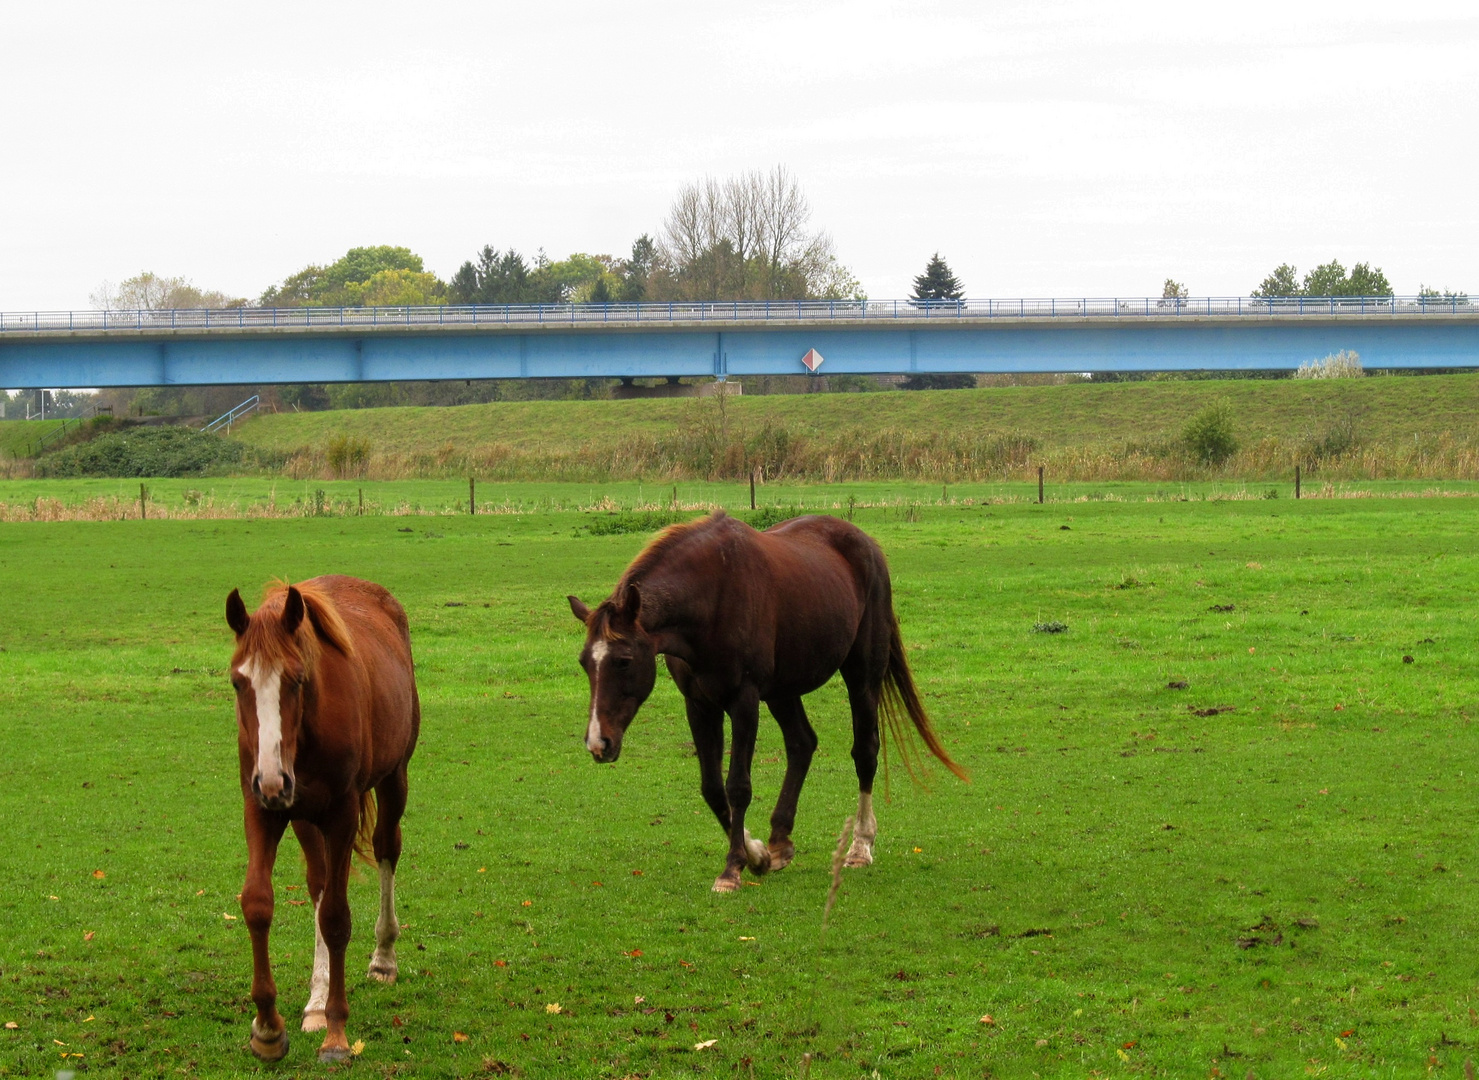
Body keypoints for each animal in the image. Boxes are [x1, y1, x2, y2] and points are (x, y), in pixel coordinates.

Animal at [226, 576, 422, 1053]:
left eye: (296, 680)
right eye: (239, 683)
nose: (273, 779)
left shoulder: (341, 813)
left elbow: (335, 917)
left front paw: (336, 1034)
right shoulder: (263, 808)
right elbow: (258, 903)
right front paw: (268, 1028)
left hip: (394, 778)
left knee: (387, 848)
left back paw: (384, 958)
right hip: (301, 815)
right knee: (318, 883)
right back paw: (315, 1001)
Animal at [567, 511, 970, 893]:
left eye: (623, 661)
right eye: (585, 662)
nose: (598, 742)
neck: (711, 597)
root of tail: (866, 543)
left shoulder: (744, 701)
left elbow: (738, 786)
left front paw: (732, 869)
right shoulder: (699, 704)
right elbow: (712, 788)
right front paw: (757, 853)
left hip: (862, 676)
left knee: (865, 752)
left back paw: (860, 845)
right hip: (782, 690)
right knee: (802, 743)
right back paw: (779, 842)